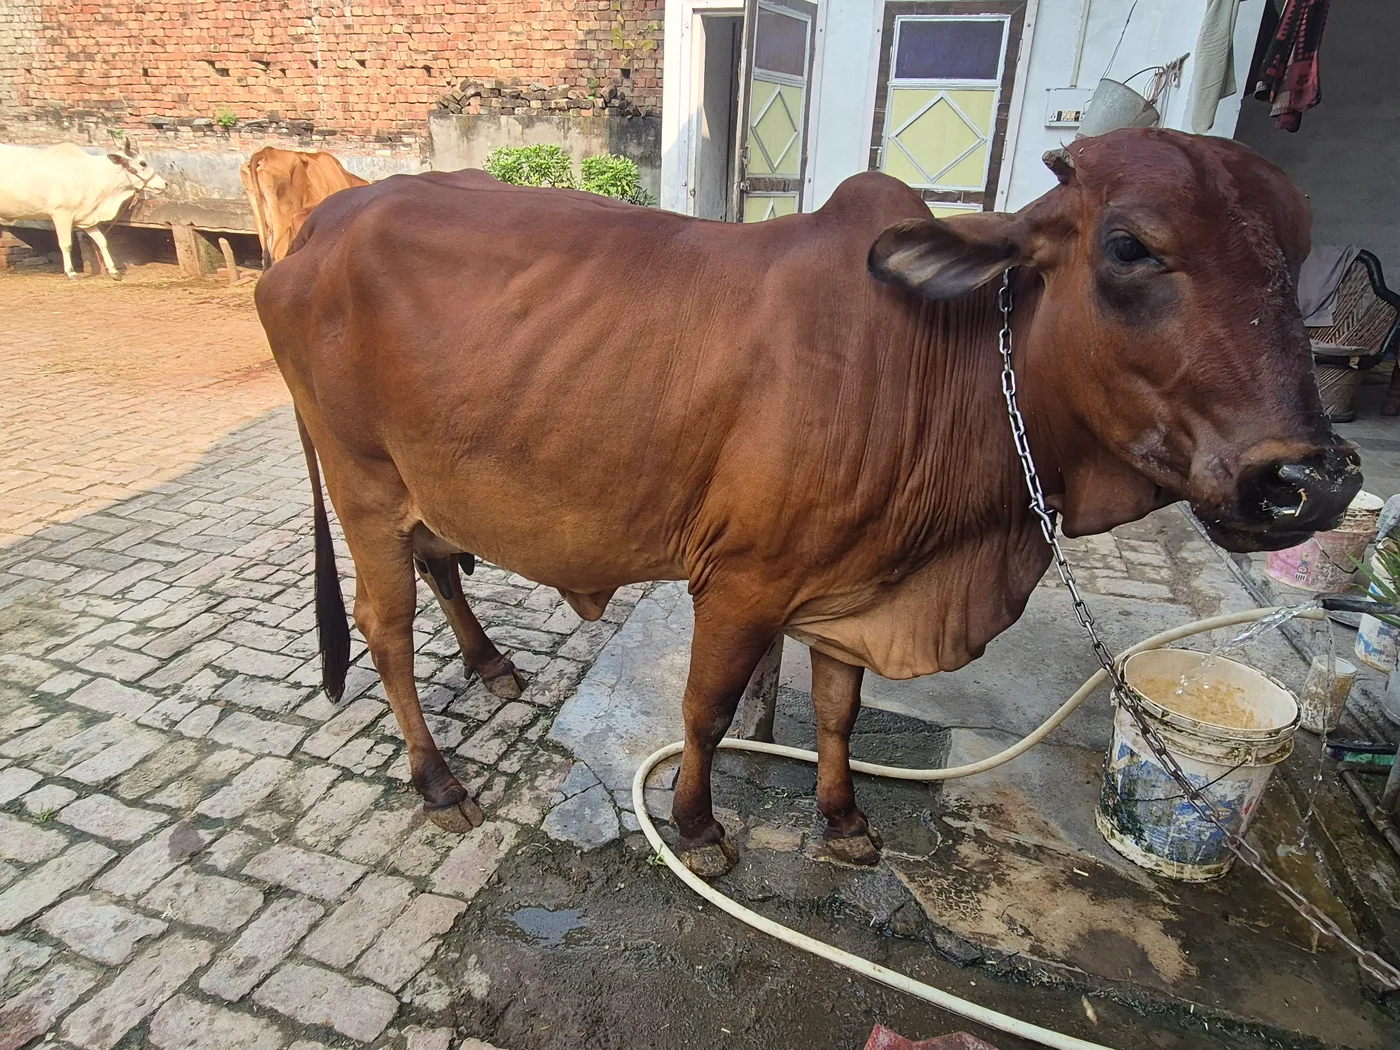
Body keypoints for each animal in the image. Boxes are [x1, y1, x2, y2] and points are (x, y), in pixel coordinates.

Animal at [0, 138, 166, 279]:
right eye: (143, 163)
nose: (164, 184)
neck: (90, 176)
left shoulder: (86, 217)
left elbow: (102, 241)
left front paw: (113, 271)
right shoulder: (61, 214)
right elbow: (66, 244)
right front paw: (71, 273)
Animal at [255, 129, 1361, 879]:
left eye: (1298, 250)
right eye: (1130, 246)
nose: (1311, 481)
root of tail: (320, 225)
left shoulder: (856, 581)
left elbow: (839, 709)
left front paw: (842, 818)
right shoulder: (742, 581)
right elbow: (703, 711)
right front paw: (699, 828)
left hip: (423, 483)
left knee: (442, 560)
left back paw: (490, 665)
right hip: (363, 485)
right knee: (385, 628)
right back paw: (438, 779)